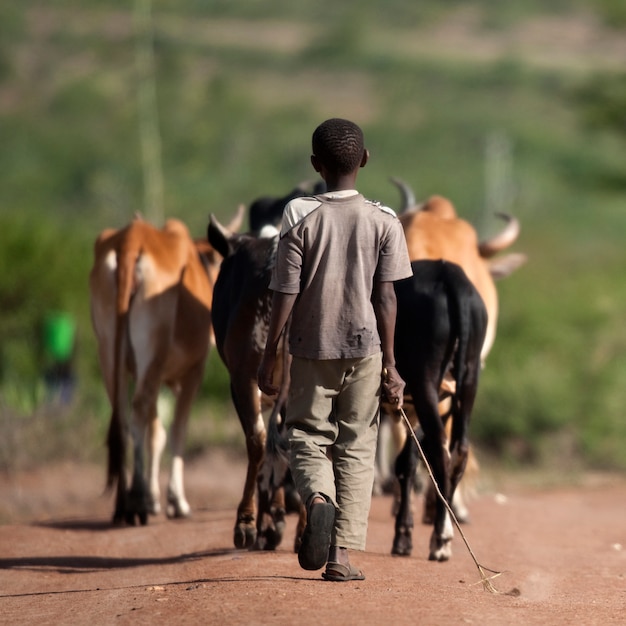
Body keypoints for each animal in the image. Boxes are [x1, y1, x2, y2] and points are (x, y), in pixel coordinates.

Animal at [89, 211, 240, 528]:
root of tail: (131, 239)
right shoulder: (194, 370)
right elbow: (178, 430)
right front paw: (175, 501)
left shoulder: (153, 373)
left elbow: (155, 434)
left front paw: (153, 498)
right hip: (152, 353)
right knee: (137, 413)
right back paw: (135, 504)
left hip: (109, 352)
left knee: (121, 417)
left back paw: (123, 505)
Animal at [388, 258, 486, 560]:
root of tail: (448, 273)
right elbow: (407, 462)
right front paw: (403, 534)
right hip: (468, 380)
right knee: (458, 451)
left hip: (425, 383)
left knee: (441, 453)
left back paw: (440, 538)